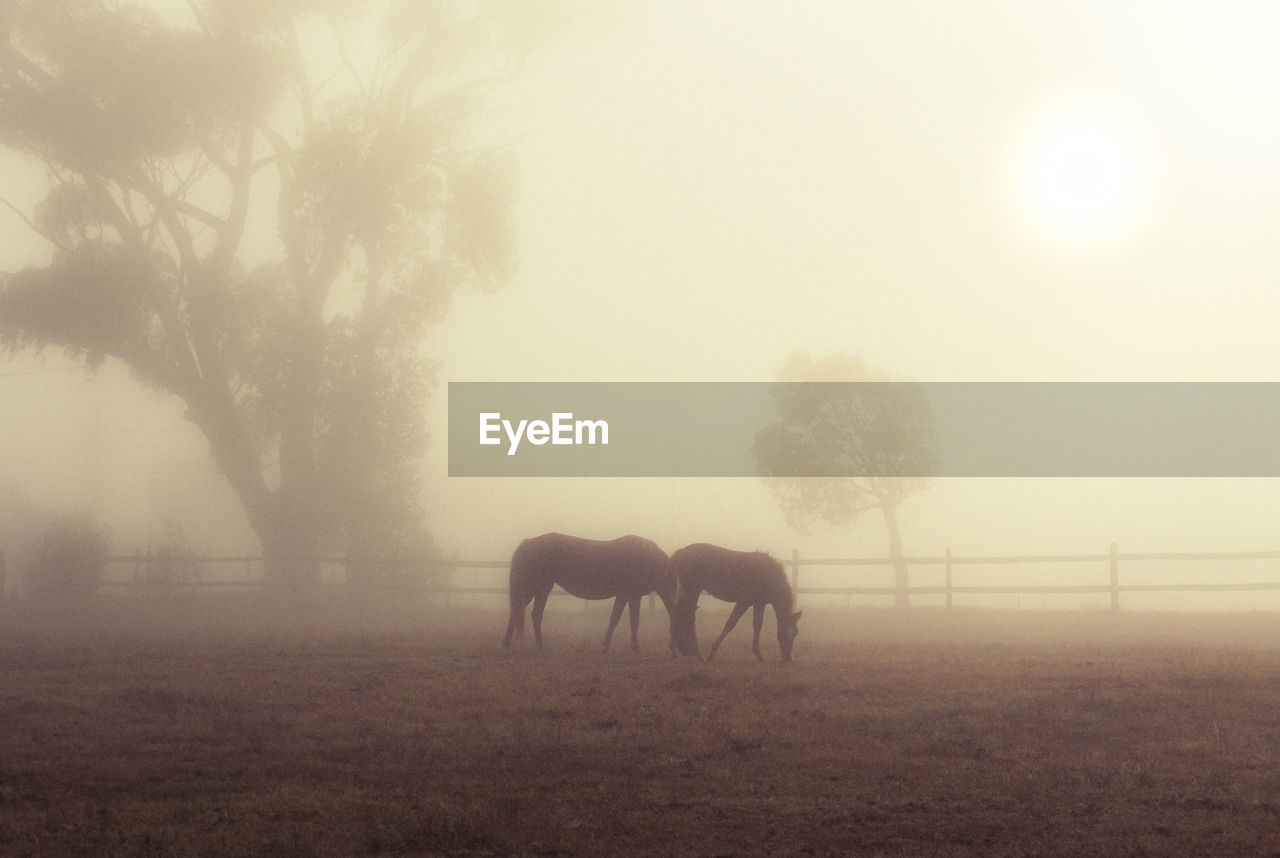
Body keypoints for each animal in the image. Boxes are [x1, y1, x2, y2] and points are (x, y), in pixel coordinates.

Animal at [499, 535, 680, 655]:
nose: (674, 649)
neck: (646, 559)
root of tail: (530, 542)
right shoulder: (627, 594)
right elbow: (621, 619)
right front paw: (613, 646)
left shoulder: (630, 595)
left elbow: (628, 620)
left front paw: (628, 646)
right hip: (536, 587)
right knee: (524, 613)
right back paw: (524, 644)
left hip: (541, 588)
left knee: (527, 613)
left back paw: (526, 644)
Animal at [670, 545, 798, 665]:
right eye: (787, 633)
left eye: (795, 634)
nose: (789, 658)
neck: (768, 576)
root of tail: (681, 551)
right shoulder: (743, 602)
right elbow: (730, 624)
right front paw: (712, 653)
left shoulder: (759, 603)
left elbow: (757, 626)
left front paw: (759, 655)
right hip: (693, 591)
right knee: (687, 616)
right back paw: (695, 654)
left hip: (686, 590)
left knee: (679, 613)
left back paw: (676, 651)